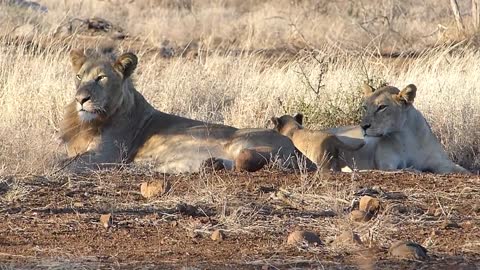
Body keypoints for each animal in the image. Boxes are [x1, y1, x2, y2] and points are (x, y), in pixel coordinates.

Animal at [58, 49, 314, 173]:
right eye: (79, 76)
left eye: (101, 78)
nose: (81, 99)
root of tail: (297, 149)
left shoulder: (108, 156)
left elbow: (61, 163)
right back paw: (209, 164)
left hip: (241, 141)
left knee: (245, 159)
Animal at [328, 83, 470, 174]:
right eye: (365, 107)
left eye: (382, 107)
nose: (363, 126)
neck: (406, 137)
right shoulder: (386, 164)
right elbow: (407, 169)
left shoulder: (440, 161)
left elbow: (462, 170)